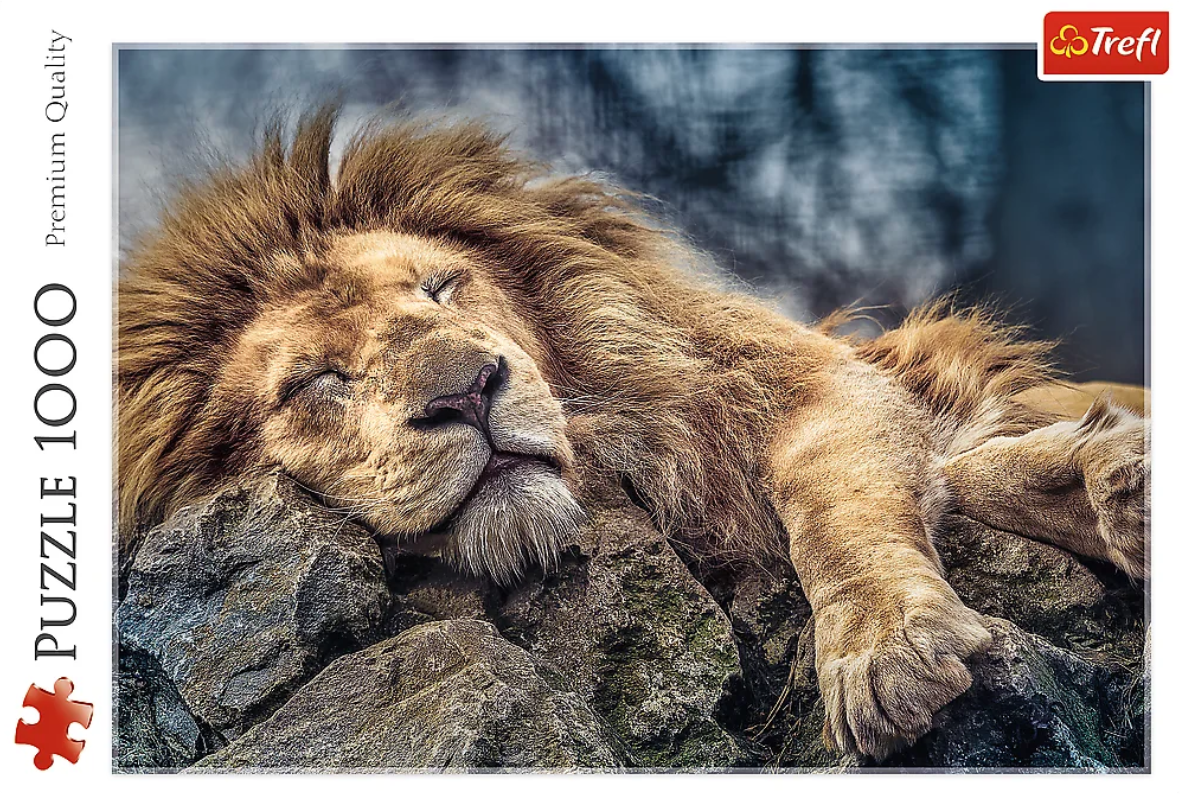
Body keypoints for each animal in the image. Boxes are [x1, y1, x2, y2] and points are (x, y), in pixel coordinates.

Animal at [117, 105, 1148, 762]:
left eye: (441, 288)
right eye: (315, 382)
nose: (470, 391)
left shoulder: (810, 383)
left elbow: (838, 503)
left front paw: (887, 646)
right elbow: (962, 471)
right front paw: (1100, 479)